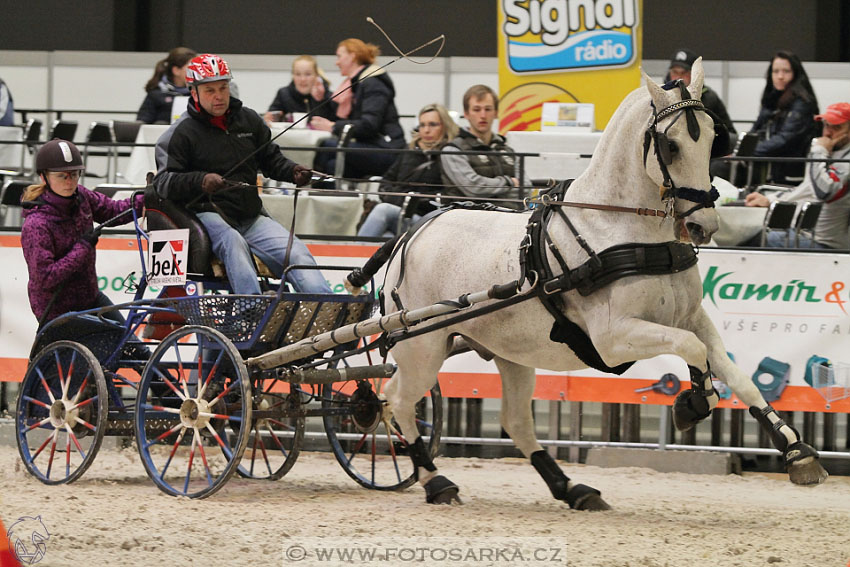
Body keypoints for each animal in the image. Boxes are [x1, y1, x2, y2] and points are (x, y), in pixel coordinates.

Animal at [356, 61, 820, 510]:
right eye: (671, 145)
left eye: (711, 138)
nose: (703, 225)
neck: (619, 228)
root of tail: (414, 231)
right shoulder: (612, 339)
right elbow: (691, 349)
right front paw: (694, 403)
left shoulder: (691, 317)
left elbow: (733, 371)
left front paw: (796, 451)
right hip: (421, 346)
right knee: (396, 401)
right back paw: (436, 482)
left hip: (509, 352)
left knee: (515, 421)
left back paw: (571, 488)